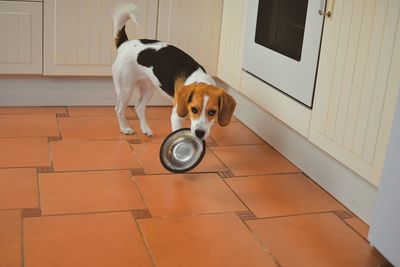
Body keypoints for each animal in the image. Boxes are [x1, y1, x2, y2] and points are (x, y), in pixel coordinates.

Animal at [111, 4, 234, 140]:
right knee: (119, 109)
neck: (198, 78)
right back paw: (125, 128)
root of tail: (125, 44)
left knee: (139, 108)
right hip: (125, 89)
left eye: (212, 112)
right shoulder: (176, 116)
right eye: (194, 109)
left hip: (148, 89)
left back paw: (146, 129)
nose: (199, 133)